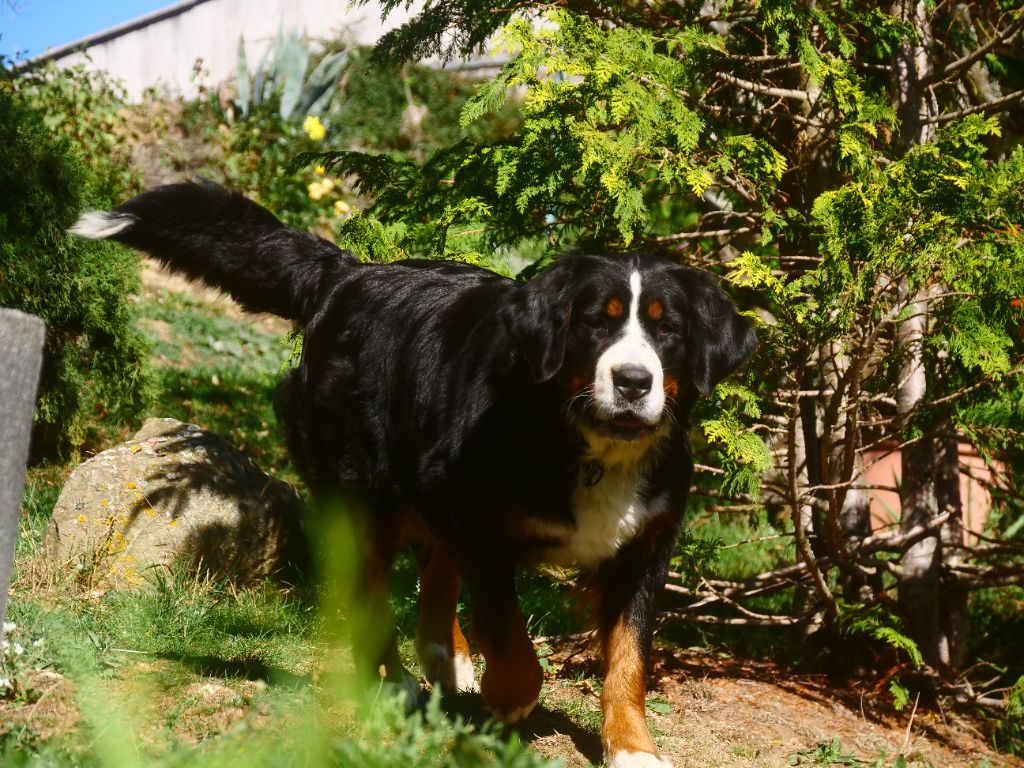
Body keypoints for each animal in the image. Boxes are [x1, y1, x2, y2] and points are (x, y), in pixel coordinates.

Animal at [72, 182, 757, 768]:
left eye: (668, 328)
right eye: (596, 322)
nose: (634, 381)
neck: (585, 444)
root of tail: (349, 273)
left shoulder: (644, 547)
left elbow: (629, 659)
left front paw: (632, 746)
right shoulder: (485, 526)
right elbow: (511, 639)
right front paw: (512, 698)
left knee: (435, 566)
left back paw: (444, 656)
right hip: (361, 499)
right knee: (371, 593)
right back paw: (395, 681)